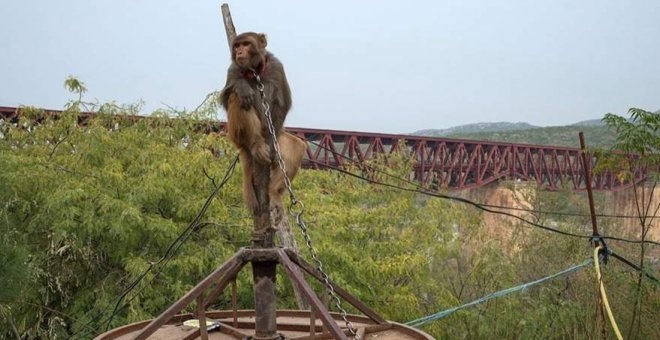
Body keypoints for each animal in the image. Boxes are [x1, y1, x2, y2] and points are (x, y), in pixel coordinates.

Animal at [220, 33, 306, 216]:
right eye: (237, 46)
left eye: (246, 44)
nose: (239, 52)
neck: (256, 72)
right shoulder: (233, 69)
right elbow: (227, 97)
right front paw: (242, 85)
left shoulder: (277, 68)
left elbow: (282, 104)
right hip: (236, 134)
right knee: (238, 99)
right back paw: (256, 144)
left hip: (277, 136)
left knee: (295, 146)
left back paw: (274, 193)